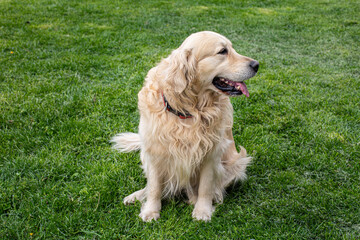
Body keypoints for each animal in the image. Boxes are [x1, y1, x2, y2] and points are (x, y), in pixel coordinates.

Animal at [112, 31, 258, 221]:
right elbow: (154, 187)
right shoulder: (154, 151)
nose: (256, 65)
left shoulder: (211, 153)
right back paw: (136, 195)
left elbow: (205, 187)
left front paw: (202, 210)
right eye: (222, 51)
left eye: (232, 48)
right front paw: (151, 210)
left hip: (237, 162)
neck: (190, 110)